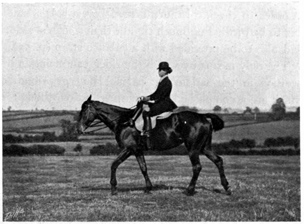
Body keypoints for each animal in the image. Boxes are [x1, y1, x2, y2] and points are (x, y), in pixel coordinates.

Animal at [78, 95, 230, 195]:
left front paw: (114, 188)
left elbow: (114, 164)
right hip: (204, 147)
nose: (79, 129)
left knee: (197, 167)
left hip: (193, 148)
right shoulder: (137, 150)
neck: (124, 121)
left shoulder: (128, 149)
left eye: (84, 110)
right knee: (218, 160)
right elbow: (143, 168)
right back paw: (226, 188)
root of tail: (204, 117)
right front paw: (148, 188)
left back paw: (189, 190)